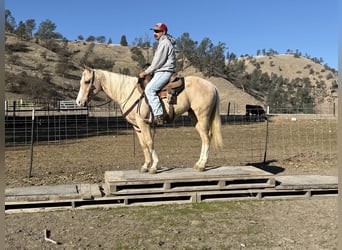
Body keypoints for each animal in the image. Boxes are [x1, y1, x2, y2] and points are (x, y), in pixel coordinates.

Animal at [76, 67, 223, 175]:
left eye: (87, 81)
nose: (78, 102)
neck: (127, 92)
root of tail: (212, 86)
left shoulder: (143, 122)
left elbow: (149, 142)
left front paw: (154, 166)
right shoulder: (136, 126)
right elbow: (143, 145)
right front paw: (145, 166)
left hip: (202, 116)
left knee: (206, 137)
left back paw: (202, 165)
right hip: (195, 117)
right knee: (204, 137)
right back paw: (198, 164)